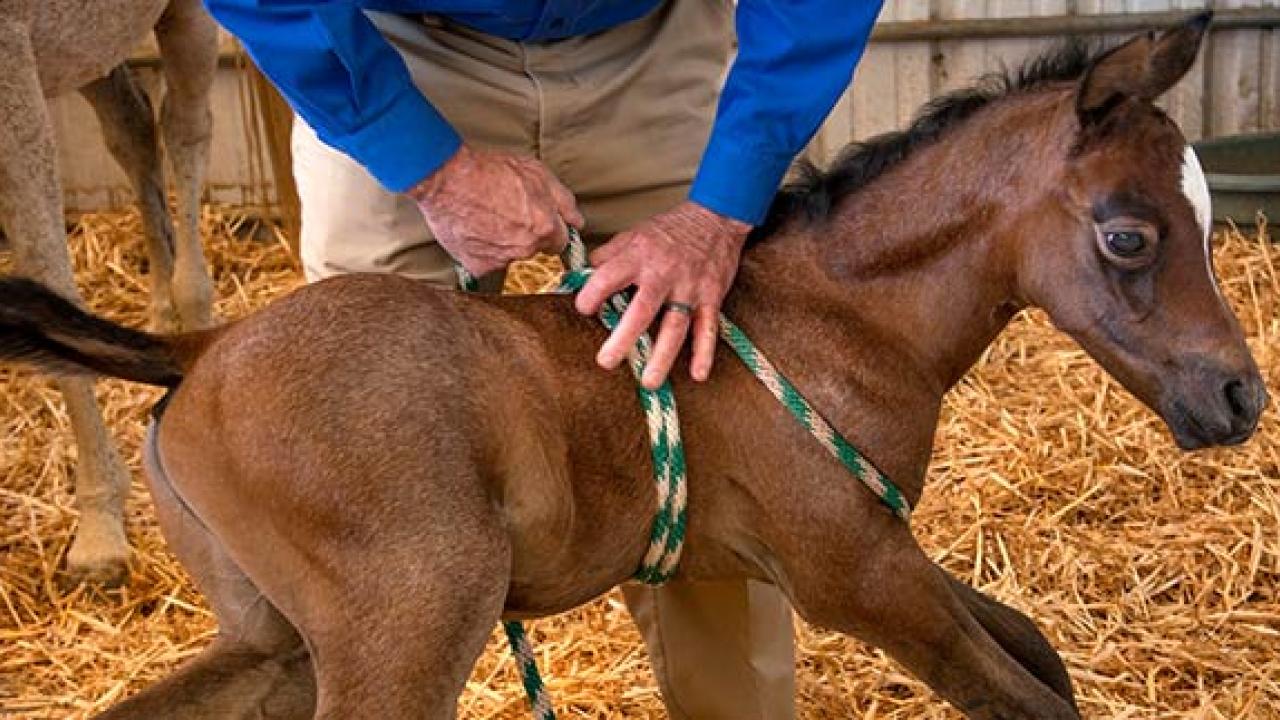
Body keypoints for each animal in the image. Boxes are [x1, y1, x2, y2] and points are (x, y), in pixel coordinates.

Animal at [0, 0, 218, 585]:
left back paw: (193, 309)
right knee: (132, 125)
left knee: (185, 127)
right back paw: (162, 313)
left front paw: (99, 532)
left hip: (188, 14)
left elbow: (45, 267)